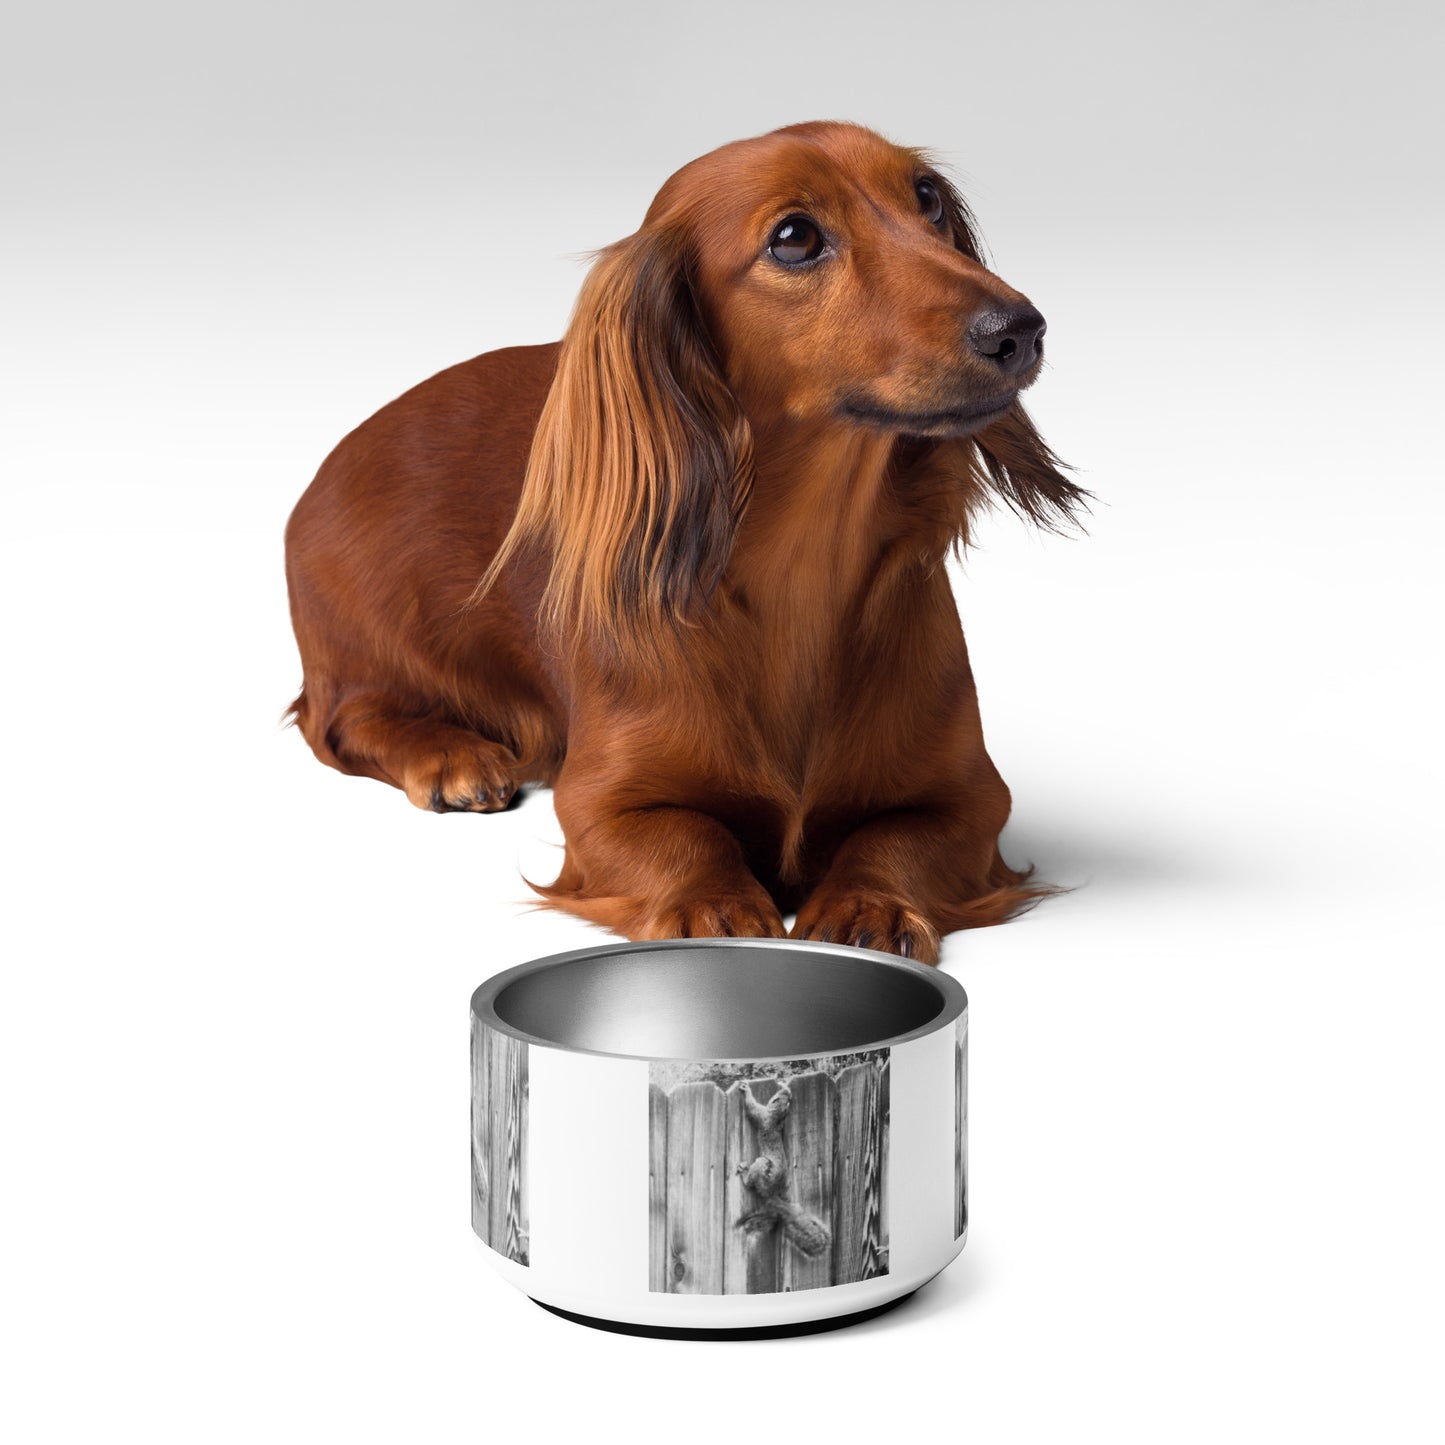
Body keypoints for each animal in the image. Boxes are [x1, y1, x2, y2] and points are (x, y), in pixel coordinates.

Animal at [734, 1081, 831, 1258]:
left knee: (751, 1183)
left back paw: (744, 1172)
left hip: (761, 1166)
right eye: (786, 1098)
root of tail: (773, 1194)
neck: (776, 1117)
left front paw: (747, 1090)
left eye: (777, 1098)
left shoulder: (762, 1116)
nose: (785, 1091)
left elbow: (752, 1107)